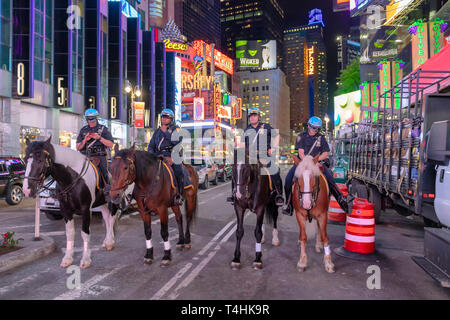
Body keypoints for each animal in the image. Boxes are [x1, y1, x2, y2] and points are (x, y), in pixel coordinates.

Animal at [23, 137, 118, 268]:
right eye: (25, 160)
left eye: (40, 160)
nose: (26, 190)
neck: (72, 178)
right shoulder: (65, 209)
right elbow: (69, 233)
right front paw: (68, 258)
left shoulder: (86, 209)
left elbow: (85, 233)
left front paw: (85, 259)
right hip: (101, 202)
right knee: (107, 217)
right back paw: (107, 241)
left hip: (115, 199)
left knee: (112, 217)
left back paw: (110, 242)